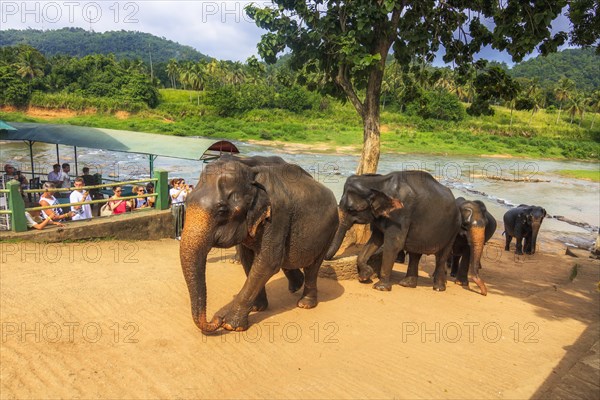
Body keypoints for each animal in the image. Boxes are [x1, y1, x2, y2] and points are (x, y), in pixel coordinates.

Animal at [178, 155, 340, 332]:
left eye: (222, 211)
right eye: (186, 201)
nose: (216, 319)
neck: (250, 170)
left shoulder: (277, 214)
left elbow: (268, 262)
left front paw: (231, 325)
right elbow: (249, 260)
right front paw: (257, 308)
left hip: (330, 230)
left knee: (313, 266)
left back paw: (305, 304)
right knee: (288, 259)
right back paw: (296, 285)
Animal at [326, 170, 472, 292]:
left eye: (352, 210)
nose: (329, 259)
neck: (380, 182)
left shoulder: (401, 214)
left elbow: (393, 244)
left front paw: (380, 287)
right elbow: (375, 240)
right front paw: (365, 276)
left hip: (452, 230)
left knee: (442, 256)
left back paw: (438, 288)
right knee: (415, 254)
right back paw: (407, 284)